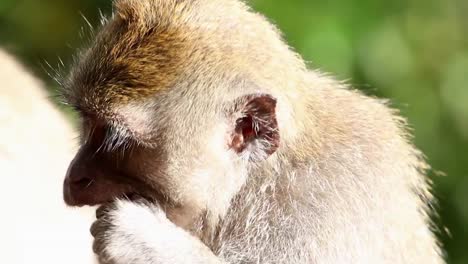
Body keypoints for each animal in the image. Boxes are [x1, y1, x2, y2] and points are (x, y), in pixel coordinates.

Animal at [61, 1, 442, 262]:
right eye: (88, 122)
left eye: (115, 139)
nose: (73, 177)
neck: (257, 181)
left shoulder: (321, 208)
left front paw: (147, 241)